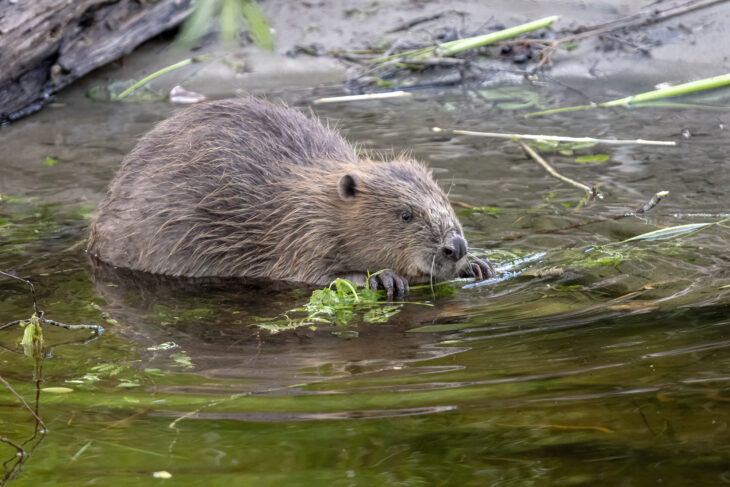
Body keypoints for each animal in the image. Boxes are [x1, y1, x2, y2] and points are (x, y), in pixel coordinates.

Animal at [86, 97, 494, 298]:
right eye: (405, 215)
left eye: (445, 201)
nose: (455, 247)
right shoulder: (300, 233)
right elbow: (308, 274)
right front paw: (384, 279)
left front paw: (478, 265)